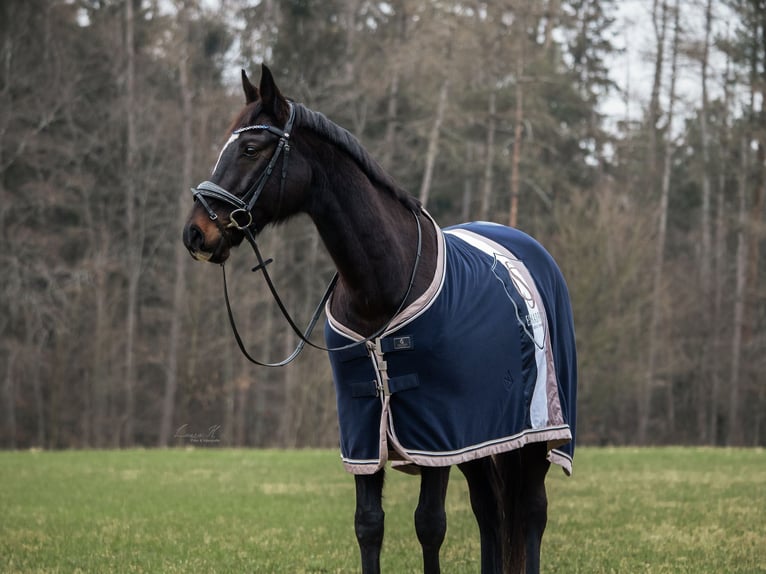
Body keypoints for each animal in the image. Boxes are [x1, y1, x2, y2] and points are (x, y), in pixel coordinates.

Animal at [182, 65, 577, 574]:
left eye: (250, 148)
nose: (196, 233)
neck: (382, 284)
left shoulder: (434, 430)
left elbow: (430, 525)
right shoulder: (367, 428)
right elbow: (368, 525)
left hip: (532, 438)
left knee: (529, 512)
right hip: (483, 436)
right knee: (490, 512)